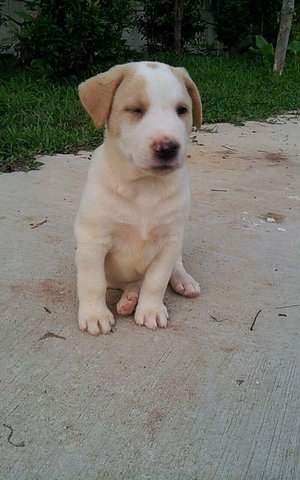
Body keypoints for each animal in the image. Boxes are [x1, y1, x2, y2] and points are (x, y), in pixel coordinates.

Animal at [74, 62, 203, 334]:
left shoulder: (168, 243)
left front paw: (151, 309)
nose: (168, 148)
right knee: (130, 283)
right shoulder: (93, 240)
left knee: (172, 268)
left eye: (182, 110)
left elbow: (156, 281)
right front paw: (94, 314)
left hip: (177, 242)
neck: (144, 185)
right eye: (135, 110)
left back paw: (182, 282)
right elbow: (93, 282)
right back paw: (128, 299)